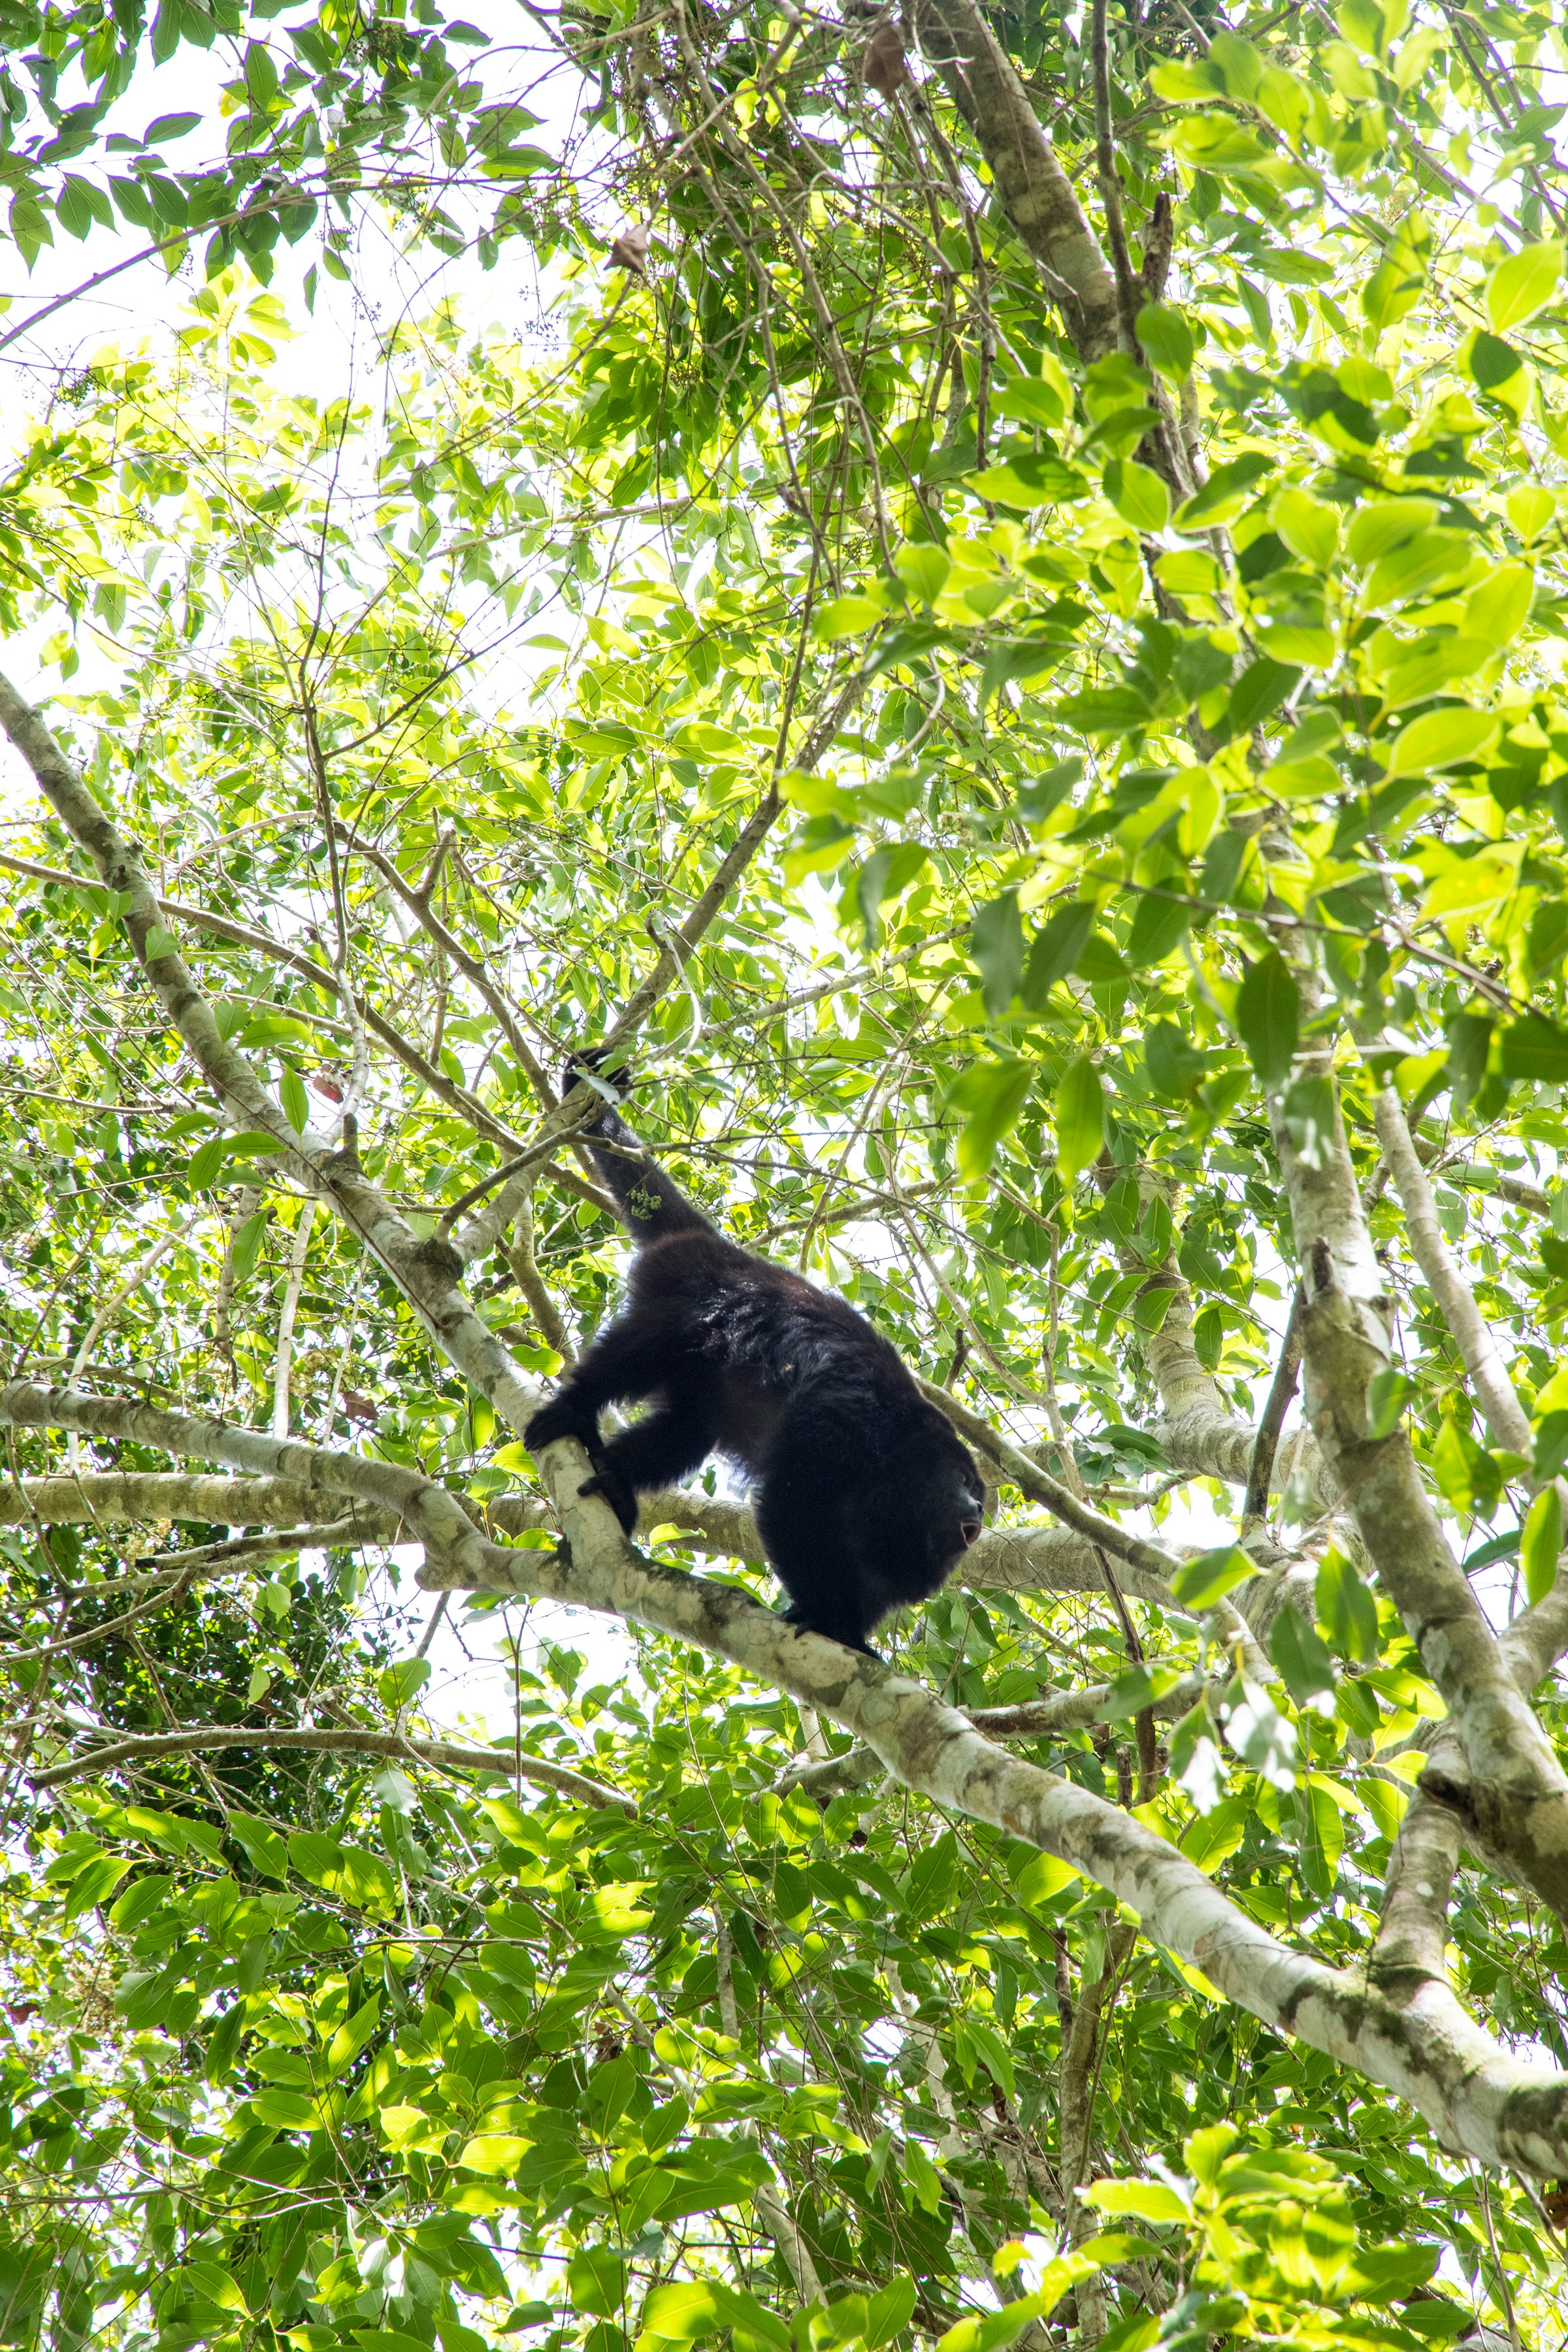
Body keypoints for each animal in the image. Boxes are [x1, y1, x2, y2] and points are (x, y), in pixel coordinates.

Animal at [533, 1058, 987, 1665]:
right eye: (961, 1480)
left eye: (980, 1491)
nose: (977, 1509)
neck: (895, 1449)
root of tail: (724, 1250)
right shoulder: (846, 1415)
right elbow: (793, 1501)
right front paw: (830, 1621)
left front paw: (856, 1632)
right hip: (680, 1297)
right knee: (635, 1356)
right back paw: (571, 1411)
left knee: (687, 1432)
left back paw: (615, 1481)